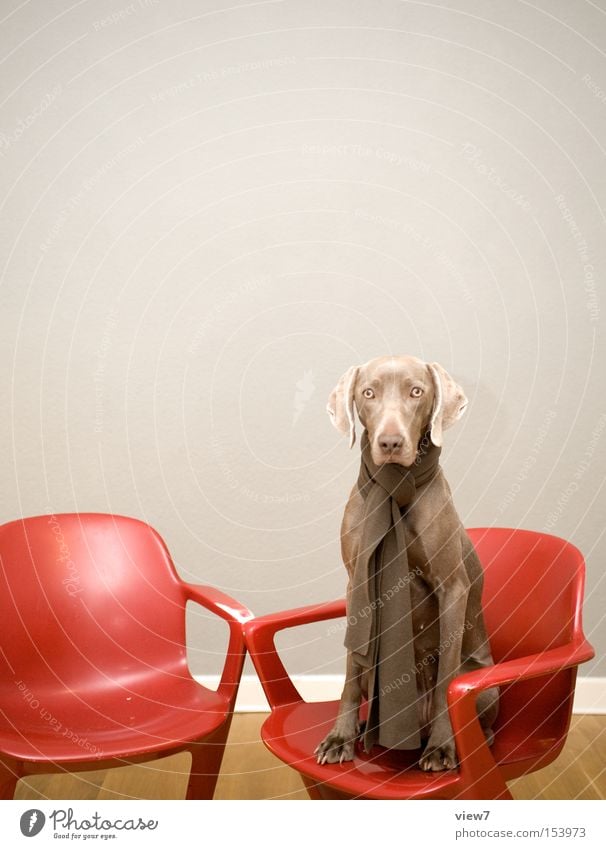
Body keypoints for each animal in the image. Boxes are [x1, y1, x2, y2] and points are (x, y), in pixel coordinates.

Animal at [316, 354, 502, 772]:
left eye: (416, 391)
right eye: (368, 393)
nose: (390, 442)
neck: (396, 488)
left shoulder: (452, 586)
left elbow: (447, 673)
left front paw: (443, 748)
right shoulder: (356, 583)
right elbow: (350, 670)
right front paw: (339, 737)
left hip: (484, 684)